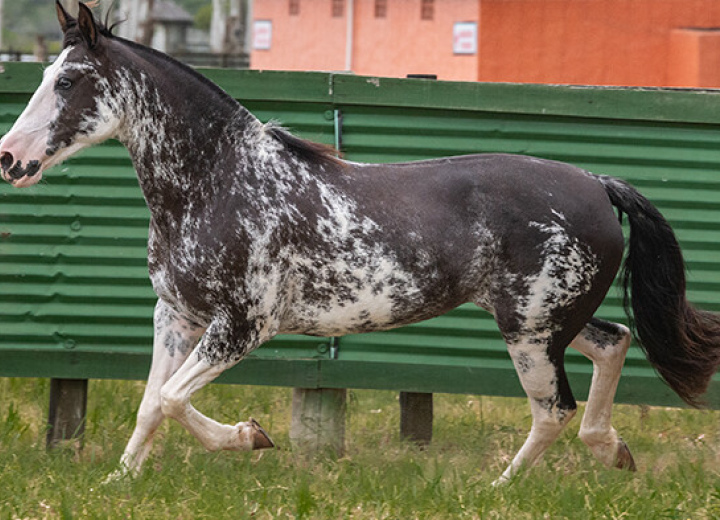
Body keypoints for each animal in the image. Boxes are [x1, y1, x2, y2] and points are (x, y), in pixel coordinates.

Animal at [1, 2, 720, 486]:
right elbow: (152, 403)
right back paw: (613, 450)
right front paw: (119, 481)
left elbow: (175, 399)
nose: (9, 158)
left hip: (531, 332)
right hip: (548, 322)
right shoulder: (176, 317)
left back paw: (500, 488)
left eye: (67, 81)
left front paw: (251, 437)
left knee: (554, 410)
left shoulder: (241, 328)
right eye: (45, 74)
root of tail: (597, 185)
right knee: (614, 343)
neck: (219, 182)